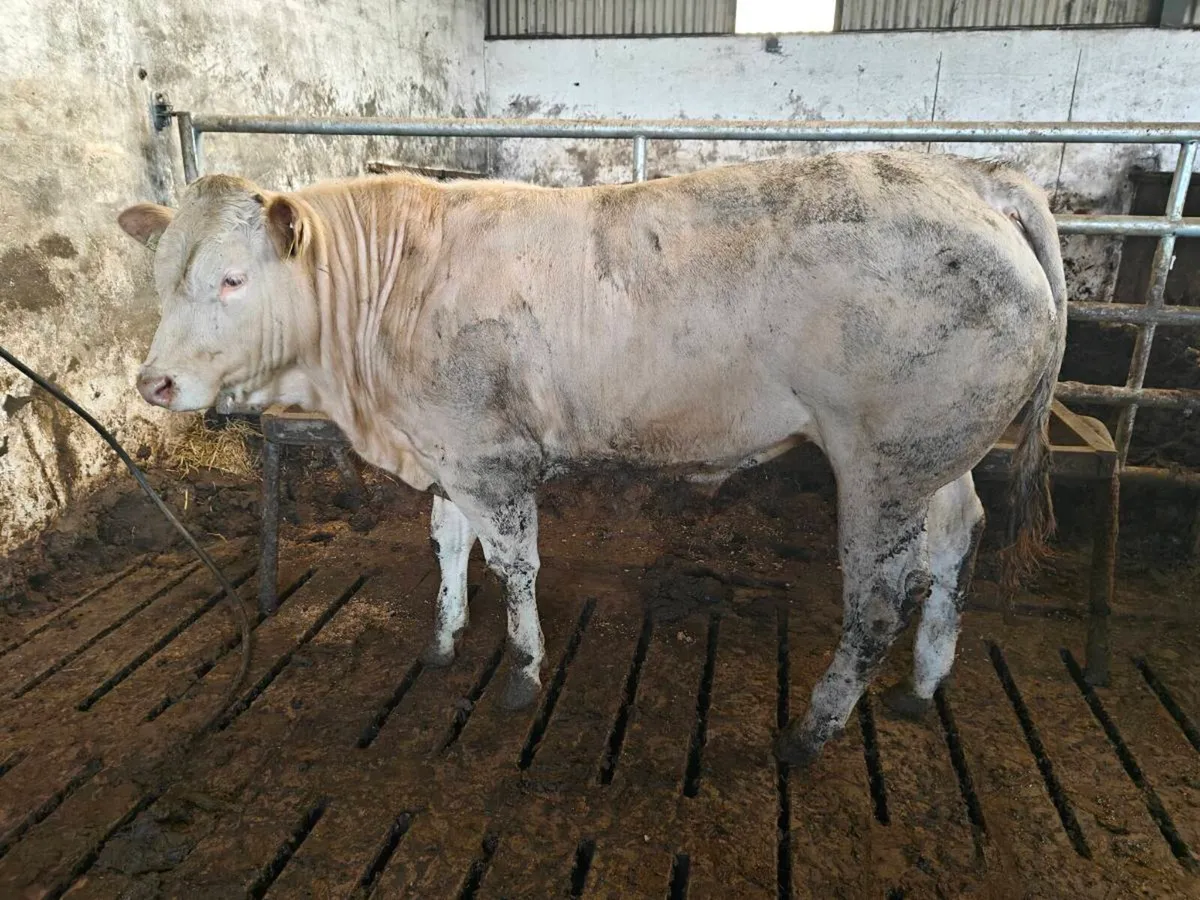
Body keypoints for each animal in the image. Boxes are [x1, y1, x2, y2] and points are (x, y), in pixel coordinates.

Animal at [117, 149, 1066, 766]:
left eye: (233, 278)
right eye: (161, 276)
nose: (154, 382)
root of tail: (973, 179)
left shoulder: (492, 456)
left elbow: (514, 565)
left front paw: (522, 672)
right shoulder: (447, 444)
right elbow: (446, 543)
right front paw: (442, 638)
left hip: (881, 460)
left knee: (878, 598)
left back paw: (810, 732)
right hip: (935, 454)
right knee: (959, 538)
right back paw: (923, 683)